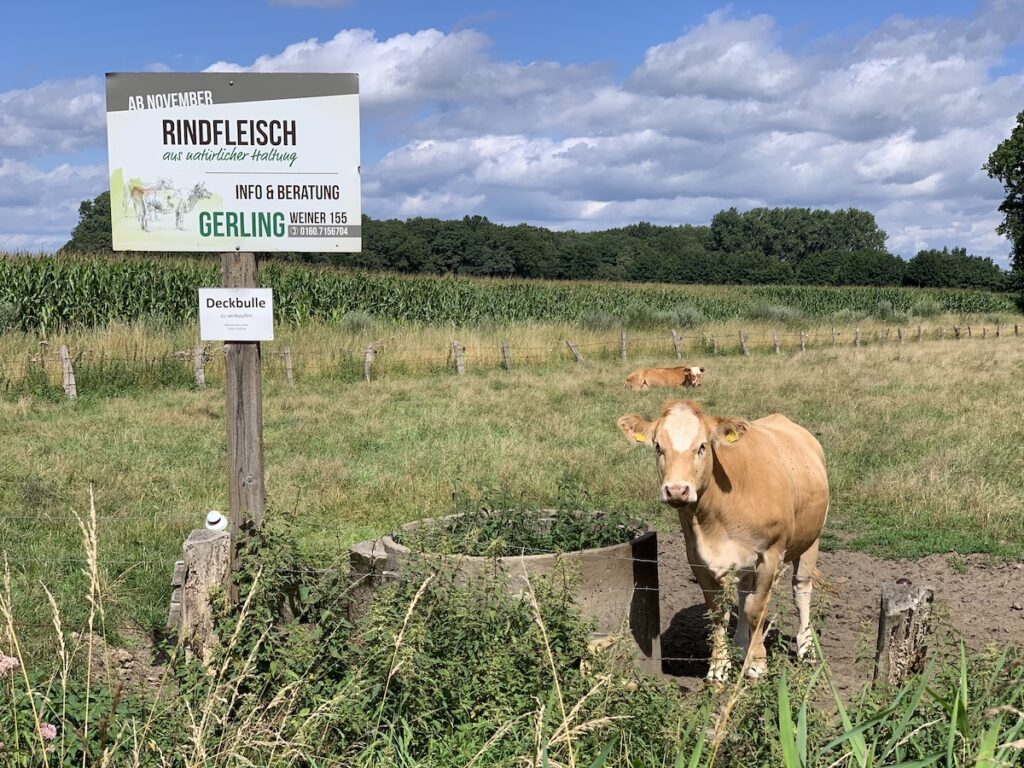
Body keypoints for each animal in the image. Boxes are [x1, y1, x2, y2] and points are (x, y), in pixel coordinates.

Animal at [617, 400, 828, 680]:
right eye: (658, 446)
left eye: (702, 446)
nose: (676, 490)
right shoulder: (698, 559)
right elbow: (719, 613)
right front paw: (719, 667)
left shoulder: (770, 556)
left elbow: (756, 610)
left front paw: (758, 664)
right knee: (743, 592)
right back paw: (740, 647)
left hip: (811, 539)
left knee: (801, 590)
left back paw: (806, 649)